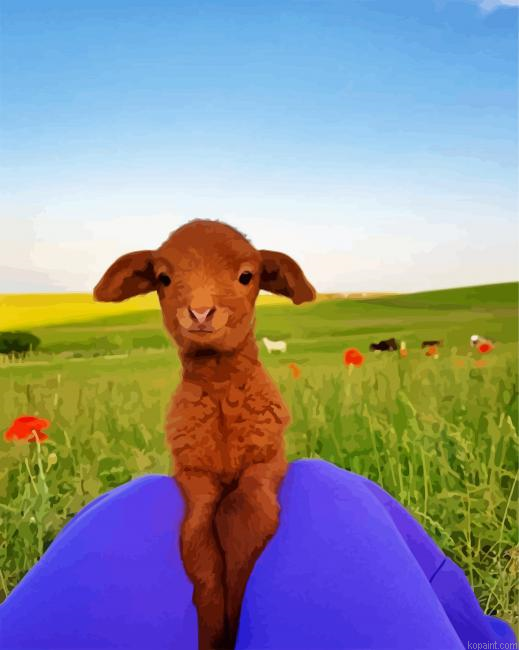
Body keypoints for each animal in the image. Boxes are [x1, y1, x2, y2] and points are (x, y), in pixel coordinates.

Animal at [93, 219, 316, 650]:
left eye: (247, 276)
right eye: (163, 278)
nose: (199, 312)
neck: (220, 391)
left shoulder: (266, 461)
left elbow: (245, 514)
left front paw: (238, 612)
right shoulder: (193, 474)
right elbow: (197, 540)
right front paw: (214, 628)